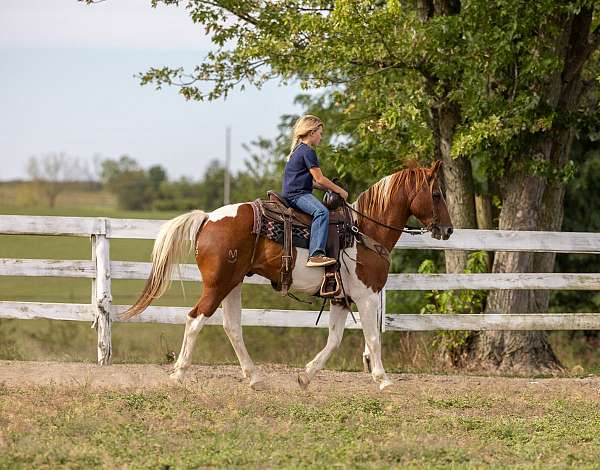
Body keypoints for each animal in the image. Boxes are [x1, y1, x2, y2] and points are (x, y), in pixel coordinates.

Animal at [123, 160, 450, 392]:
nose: (447, 230)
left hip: (232, 285)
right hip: (217, 286)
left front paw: (306, 377)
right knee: (194, 319)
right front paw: (383, 379)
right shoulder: (367, 296)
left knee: (232, 327)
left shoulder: (340, 299)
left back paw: (255, 378)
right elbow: (372, 338)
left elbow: (334, 340)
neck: (364, 232)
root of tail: (207, 219)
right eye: (436, 193)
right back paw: (179, 374)